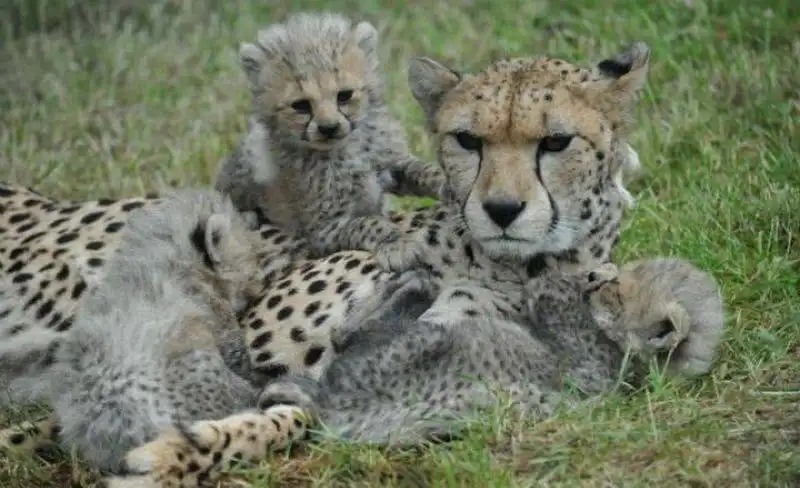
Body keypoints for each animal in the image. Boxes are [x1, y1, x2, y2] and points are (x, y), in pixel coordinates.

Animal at [213, 12, 447, 273]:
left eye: (344, 95)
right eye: (301, 105)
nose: (329, 128)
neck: (346, 150)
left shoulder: (391, 162)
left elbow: (420, 169)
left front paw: (445, 182)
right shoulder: (324, 231)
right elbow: (367, 223)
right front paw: (396, 242)